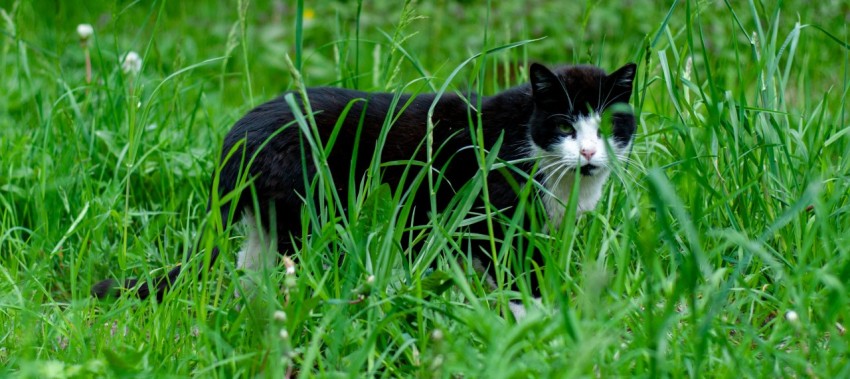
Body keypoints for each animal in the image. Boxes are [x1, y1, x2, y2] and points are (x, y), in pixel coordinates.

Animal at [94, 63, 636, 318]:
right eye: (564, 125)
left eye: (609, 124)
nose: (590, 152)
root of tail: (234, 140)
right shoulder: (491, 220)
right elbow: (521, 274)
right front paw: (539, 317)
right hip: (307, 213)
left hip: (267, 221)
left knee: (250, 273)